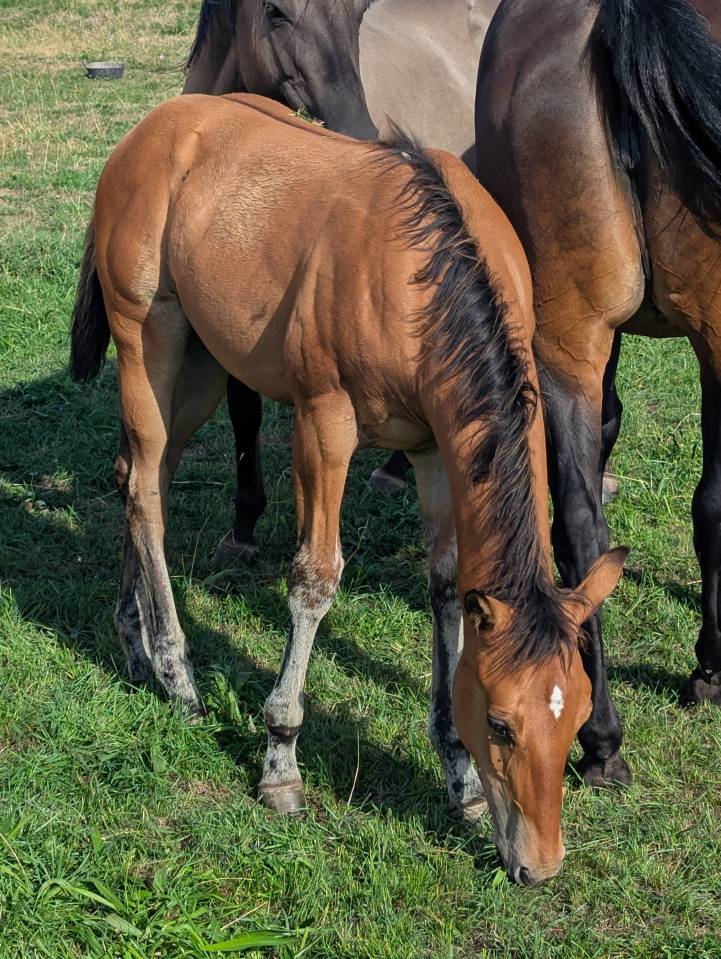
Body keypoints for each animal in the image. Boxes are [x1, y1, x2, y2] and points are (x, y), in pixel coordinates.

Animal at [69, 93, 626, 883]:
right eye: (500, 722)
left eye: (577, 715)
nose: (539, 866)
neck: (421, 273)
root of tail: (153, 129)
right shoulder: (323, 424)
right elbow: (314, 580)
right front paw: (280, 762)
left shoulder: (434, 449)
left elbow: (445, 585)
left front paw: (458, 780)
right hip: (148, 340)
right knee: (145, 490)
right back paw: (178, 676)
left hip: (202, 368)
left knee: (138, 477)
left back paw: (134, 642)